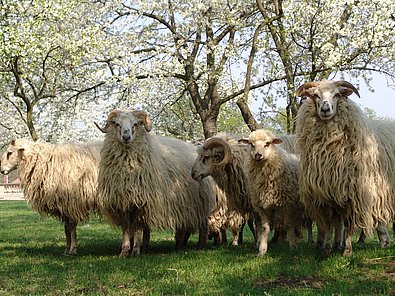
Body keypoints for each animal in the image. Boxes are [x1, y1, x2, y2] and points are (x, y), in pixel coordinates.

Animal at [96, 108, 217, 256]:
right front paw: (124, 251)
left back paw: (200, 246)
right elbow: (126, 229)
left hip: (201, 201)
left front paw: (135, 251)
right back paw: (179, 246)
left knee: (203, 225)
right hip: (183, 203)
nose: (126, 137)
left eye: (136, 124)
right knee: (183, 226)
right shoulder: (122, 202)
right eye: (117, 124)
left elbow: (137, 227)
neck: (128, 170)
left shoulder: (142, 202)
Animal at [238, 128, 310, 256]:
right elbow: (265, 228)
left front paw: (293, 248)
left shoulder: (288, 205)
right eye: (251, 144)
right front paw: (262, 250)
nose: (258, 155)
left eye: (267, 144)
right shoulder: (263, 206)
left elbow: (288, 225)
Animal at [296, 79, 395, 256]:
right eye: (315, 95)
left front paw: (347, 250)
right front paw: (327, 249)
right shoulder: (327, 194)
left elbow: (348, 225)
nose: (325, 109)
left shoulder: (354, 193)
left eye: (337, 95)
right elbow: (330, 225)